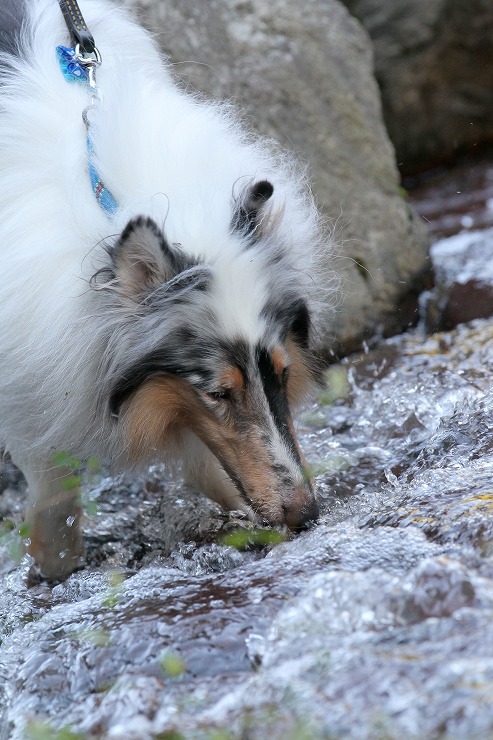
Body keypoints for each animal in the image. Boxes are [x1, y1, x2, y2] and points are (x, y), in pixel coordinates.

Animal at [0, 0, 332, 580]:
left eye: (282, 374)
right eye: (219, 392)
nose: (308, 514)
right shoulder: (30, 389)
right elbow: (53, 498)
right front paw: (53, 569)